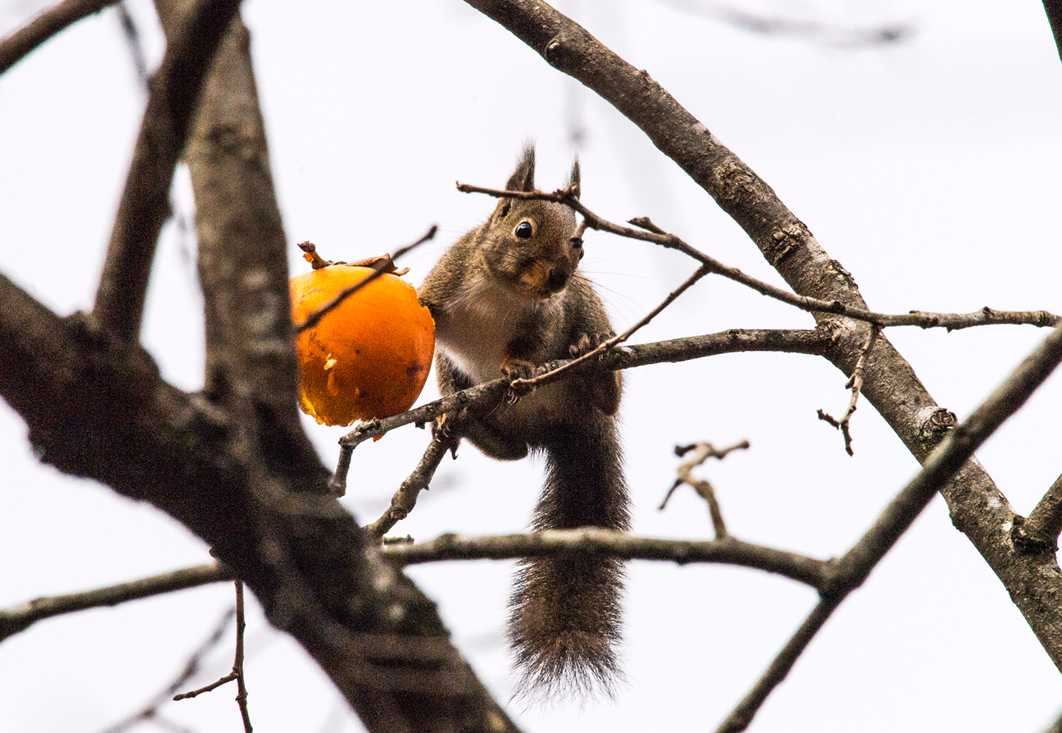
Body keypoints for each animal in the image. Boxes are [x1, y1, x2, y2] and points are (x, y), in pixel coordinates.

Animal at [416, 145, 628, 692]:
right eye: (524, 230)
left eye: (579, 244)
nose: (559, 277)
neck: (502, 291)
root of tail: (567, 429)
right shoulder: (444, 284)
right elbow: (428, 334)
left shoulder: (548, 317)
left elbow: (529, 346)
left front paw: (517, 368)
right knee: (511, 451)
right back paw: (463, 424)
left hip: (588, 311)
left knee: (607, 400)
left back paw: (591, 362)